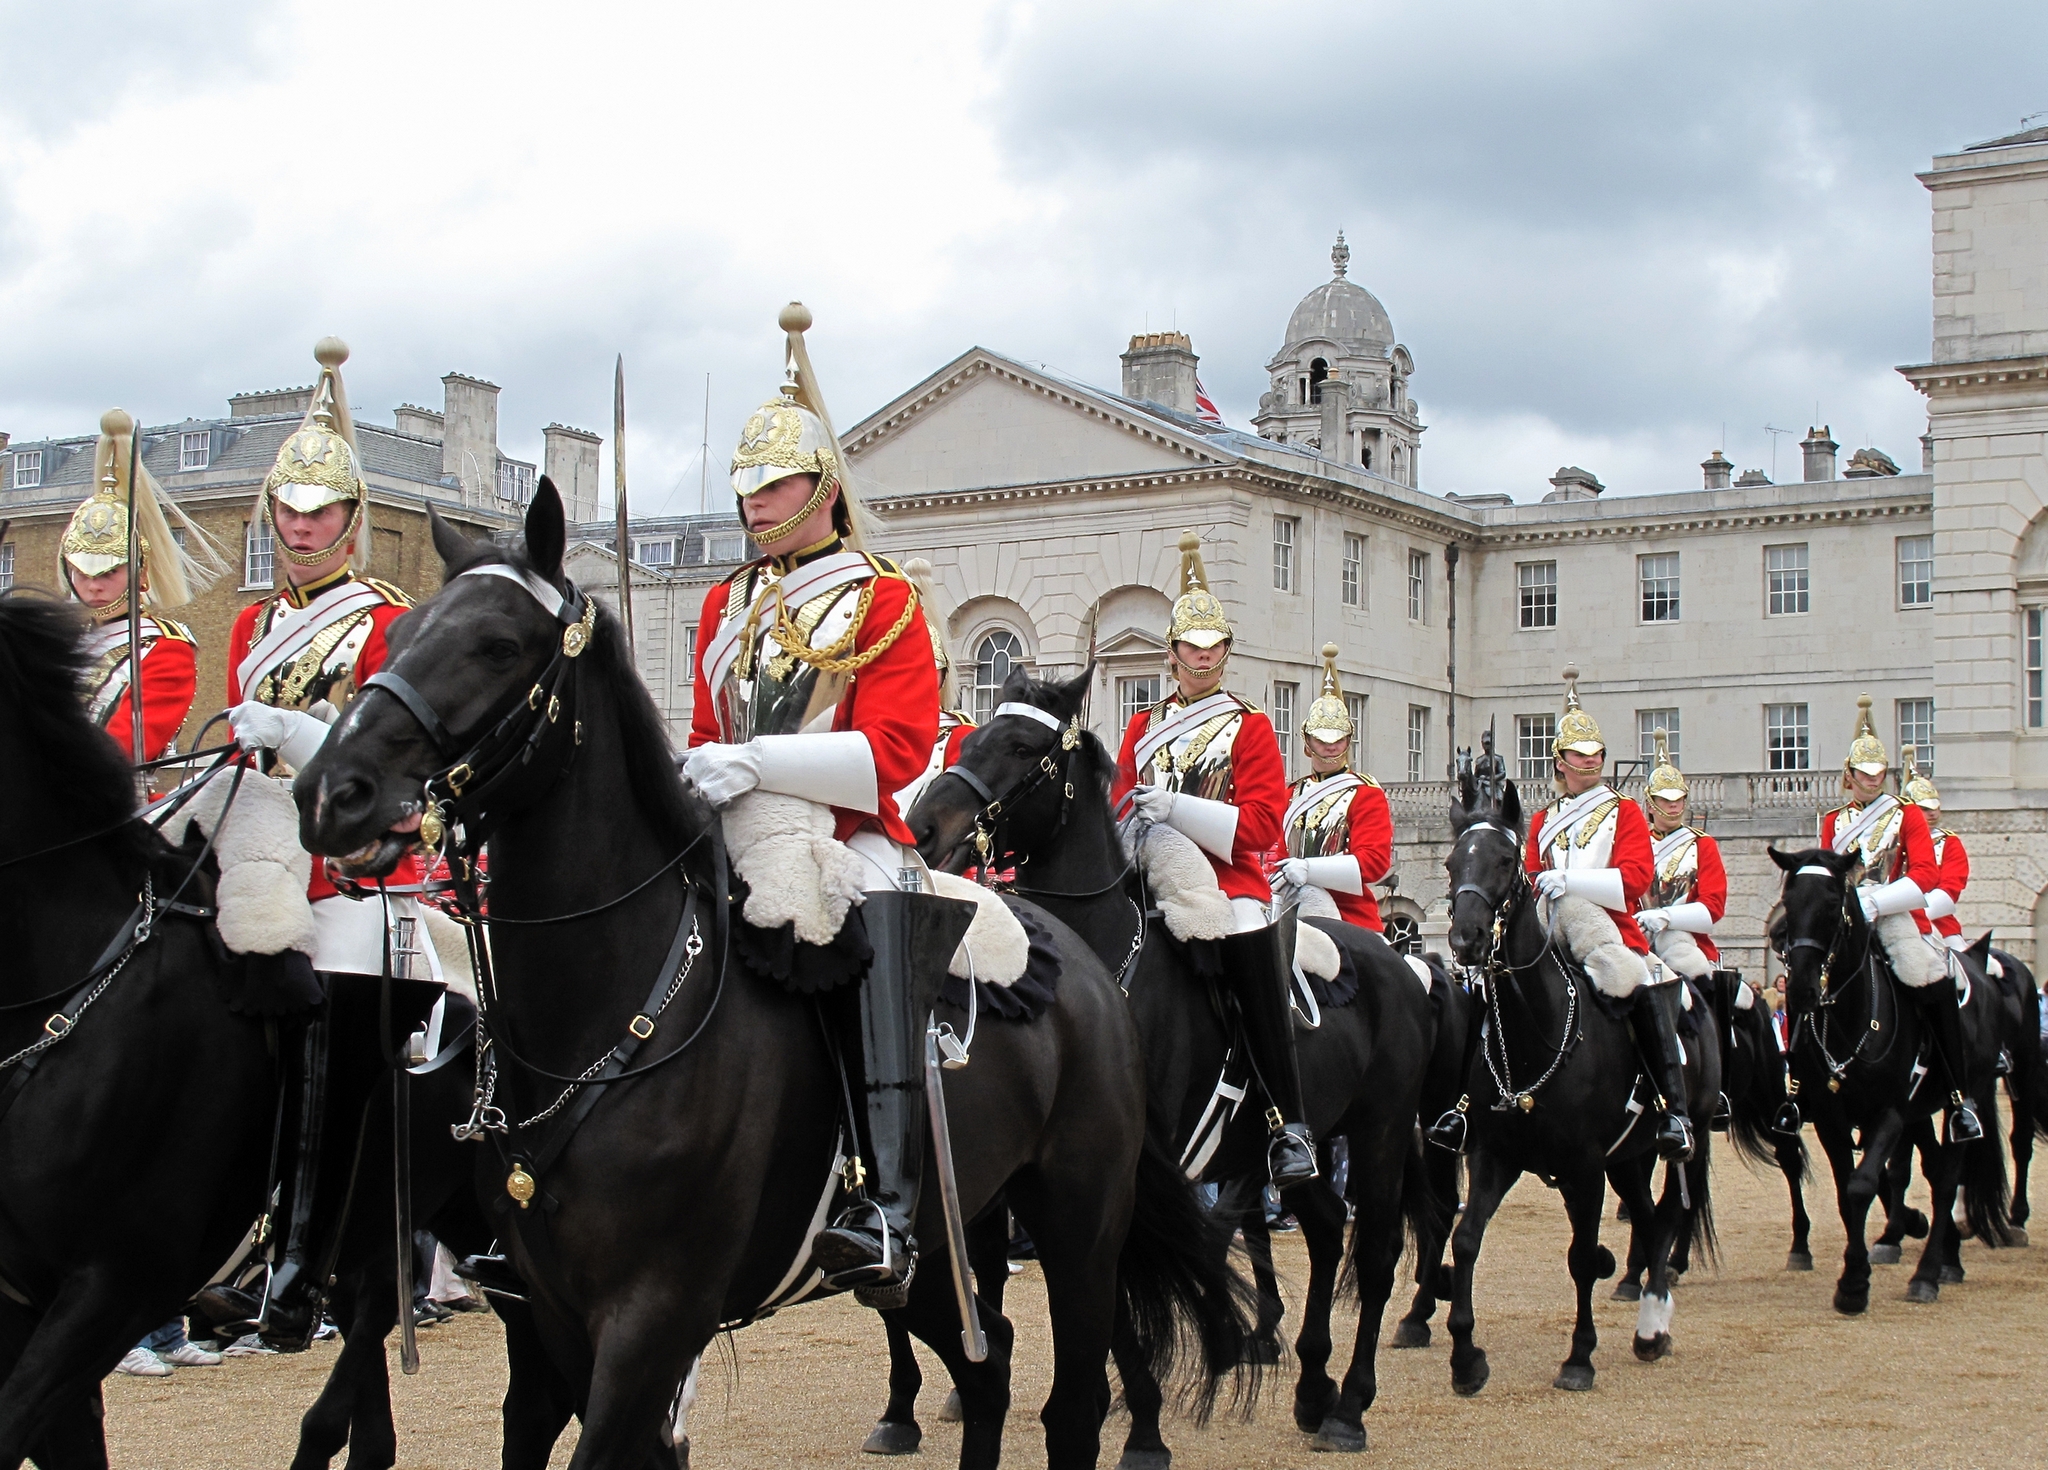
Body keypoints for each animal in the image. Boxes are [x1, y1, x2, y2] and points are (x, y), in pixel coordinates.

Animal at [294, 489, 1236, 1470]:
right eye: (400, 639)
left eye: (498, 645)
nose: (331, 792)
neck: (609, 1017)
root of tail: (1084, 970)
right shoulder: (548, 1321)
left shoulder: (652, 1318)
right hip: (946, 1242)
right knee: (990, 1367)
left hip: (1080, 1220)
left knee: (1074, 1401)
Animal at [905, 667, 1466, 1465]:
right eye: (971, 736)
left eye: (1021, 747)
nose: (922, 830)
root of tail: (1402, 960)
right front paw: (1130, 1407)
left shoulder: (1123, 1172)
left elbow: (1122, 1297)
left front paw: (1142, 1423)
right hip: (1295, 1144)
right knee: (1328, 1228)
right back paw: (1312, 1388)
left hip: (1382, 1130)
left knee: (1378, 1251)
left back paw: (1350, 1405)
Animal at [1425, 765, 1712, 1400]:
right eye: (1452, 863)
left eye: (1506, 860)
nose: (1465, 939)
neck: (1536, 1031)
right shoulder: (1494, 1156)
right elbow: (1465, 1239)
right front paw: (1465, 1358)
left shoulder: (1583, 1167)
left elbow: (1581, 1257)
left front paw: (1579, 1358)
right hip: (1628, 1157)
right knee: (1652, 1219)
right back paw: (1647, 1320)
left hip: (1683, 1138)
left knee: (1669, 1213)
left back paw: (1653, 1322)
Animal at [1769, 847, 2007, 1318]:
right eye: (1788, 901)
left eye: (1832, 905)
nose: (1801, 989)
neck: (1851, 1018)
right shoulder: (1832, 1120)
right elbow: (1849, 1191)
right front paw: (1861, 1268)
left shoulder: (1890, 1113)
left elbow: (1862, 1185)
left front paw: (1854, 1285)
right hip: (1920, 1112)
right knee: (1932, 1169)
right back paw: (1944, 1256)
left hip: (1961, 1099)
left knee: (1947, 1178)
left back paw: (1927, 1275)